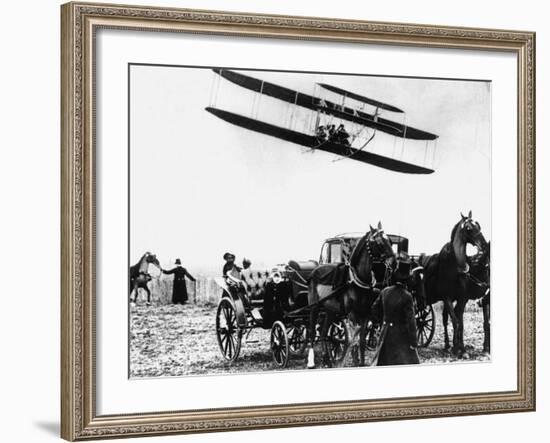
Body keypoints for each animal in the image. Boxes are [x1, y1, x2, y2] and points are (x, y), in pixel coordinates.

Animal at [306, 224, 396, 370]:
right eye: (379, 242)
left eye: (390, 240)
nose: (394, 263)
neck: (358, 280)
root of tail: (315, 270)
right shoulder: (352, 315)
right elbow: (353, 340)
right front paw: (354, 362)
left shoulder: (365, 314)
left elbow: (361, 341)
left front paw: (361, 362)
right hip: (314, 307)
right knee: (313, 333)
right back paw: (312, 362)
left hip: (331, 310)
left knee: (324, 333)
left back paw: (327, 361)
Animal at [424, 211, 490, 358]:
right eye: (469, 228)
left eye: (478, 224)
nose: (484, 245)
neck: (454, 268)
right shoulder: (447, 298)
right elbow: (455, 321)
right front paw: (457, 348)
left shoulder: (462, 298)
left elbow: (460, 322)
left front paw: (462, 348)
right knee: (444, 319)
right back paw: (448, 345)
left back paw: (450, 345)